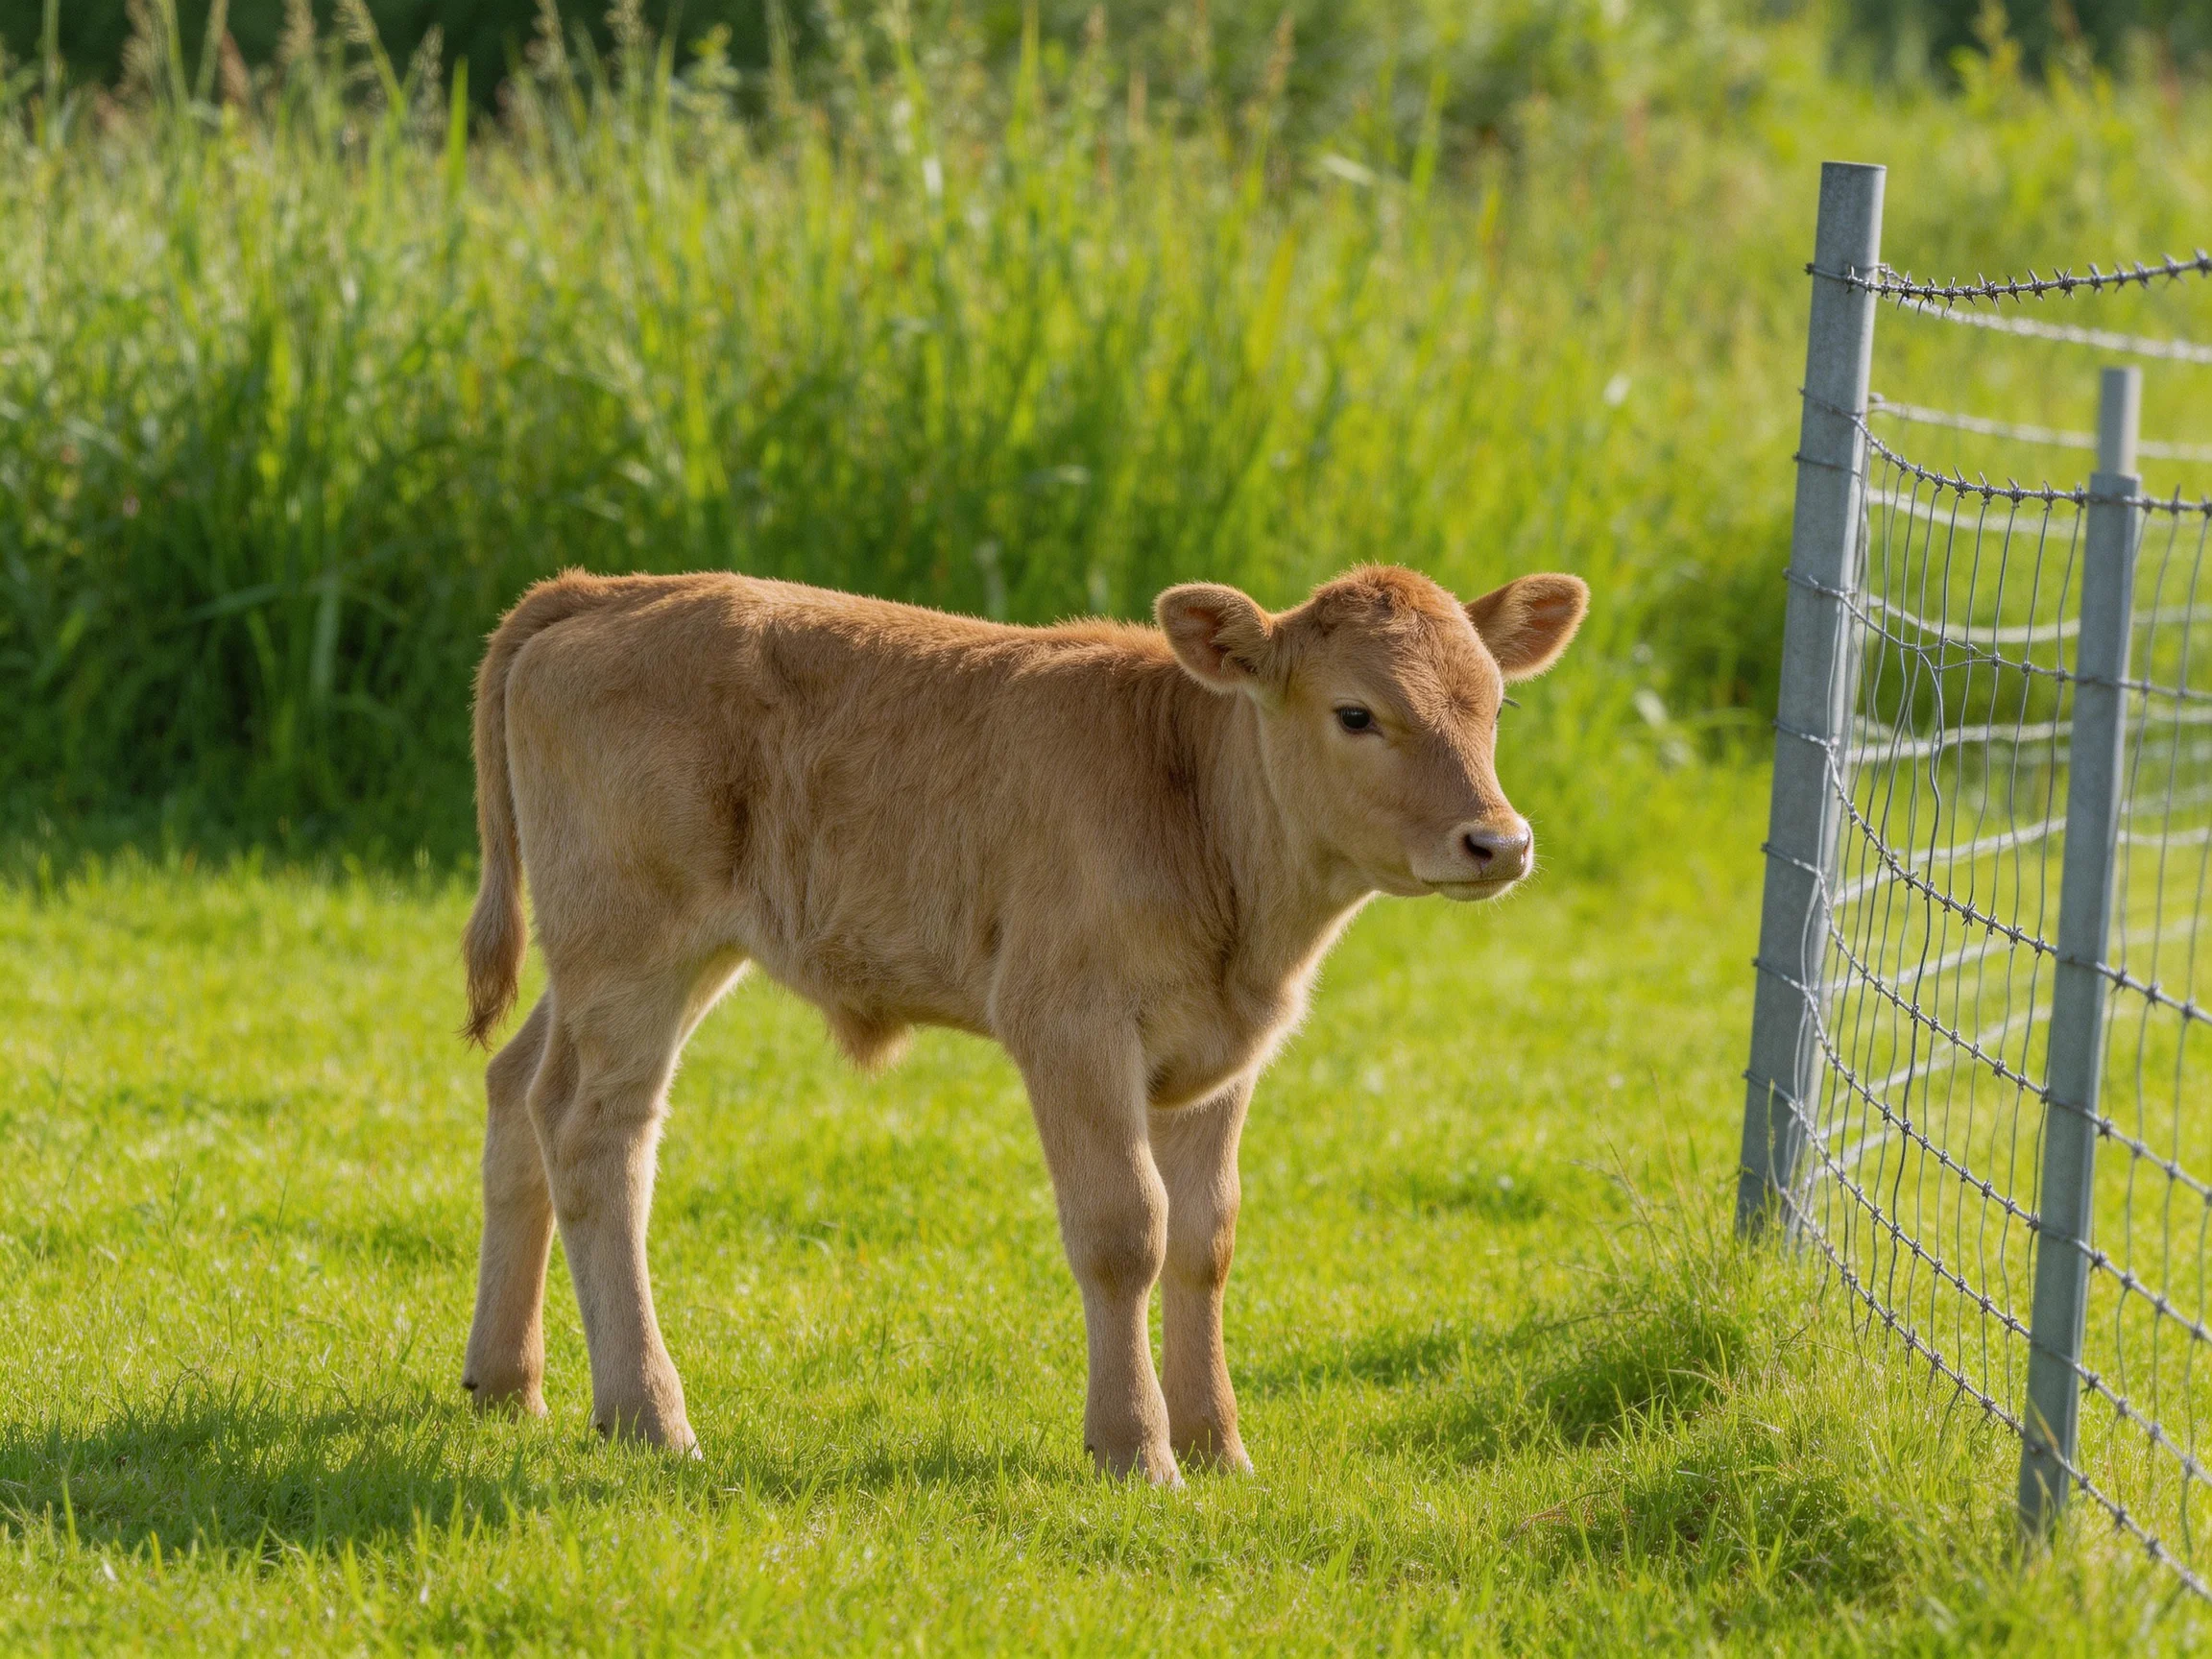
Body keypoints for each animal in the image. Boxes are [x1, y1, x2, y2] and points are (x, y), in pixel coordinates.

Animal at [457, 563, 1587, 1484]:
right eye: (1356, 713)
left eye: (1493, 703)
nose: (1499, 841)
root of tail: (605, 590)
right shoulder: (1070, 1025)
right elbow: (1126, 1229)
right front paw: (1136, 1449)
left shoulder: (1223, 1055)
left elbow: (1206, 1238)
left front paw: (1217, 1444)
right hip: (634, 946)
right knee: (598, 1136)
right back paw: (650, 1416)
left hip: (617, 959)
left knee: (520, 1091)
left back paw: (506, 1381)